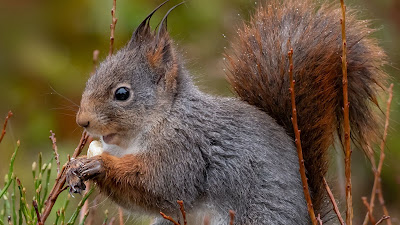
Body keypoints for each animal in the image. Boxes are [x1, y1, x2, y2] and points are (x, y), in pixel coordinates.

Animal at [65, 0, 388, 224]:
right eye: (93, 77)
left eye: (122, 94)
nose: (82, 121)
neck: (161, 119)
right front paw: (73, 167)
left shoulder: (185, 148)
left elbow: (160, 184)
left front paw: (98, 165)